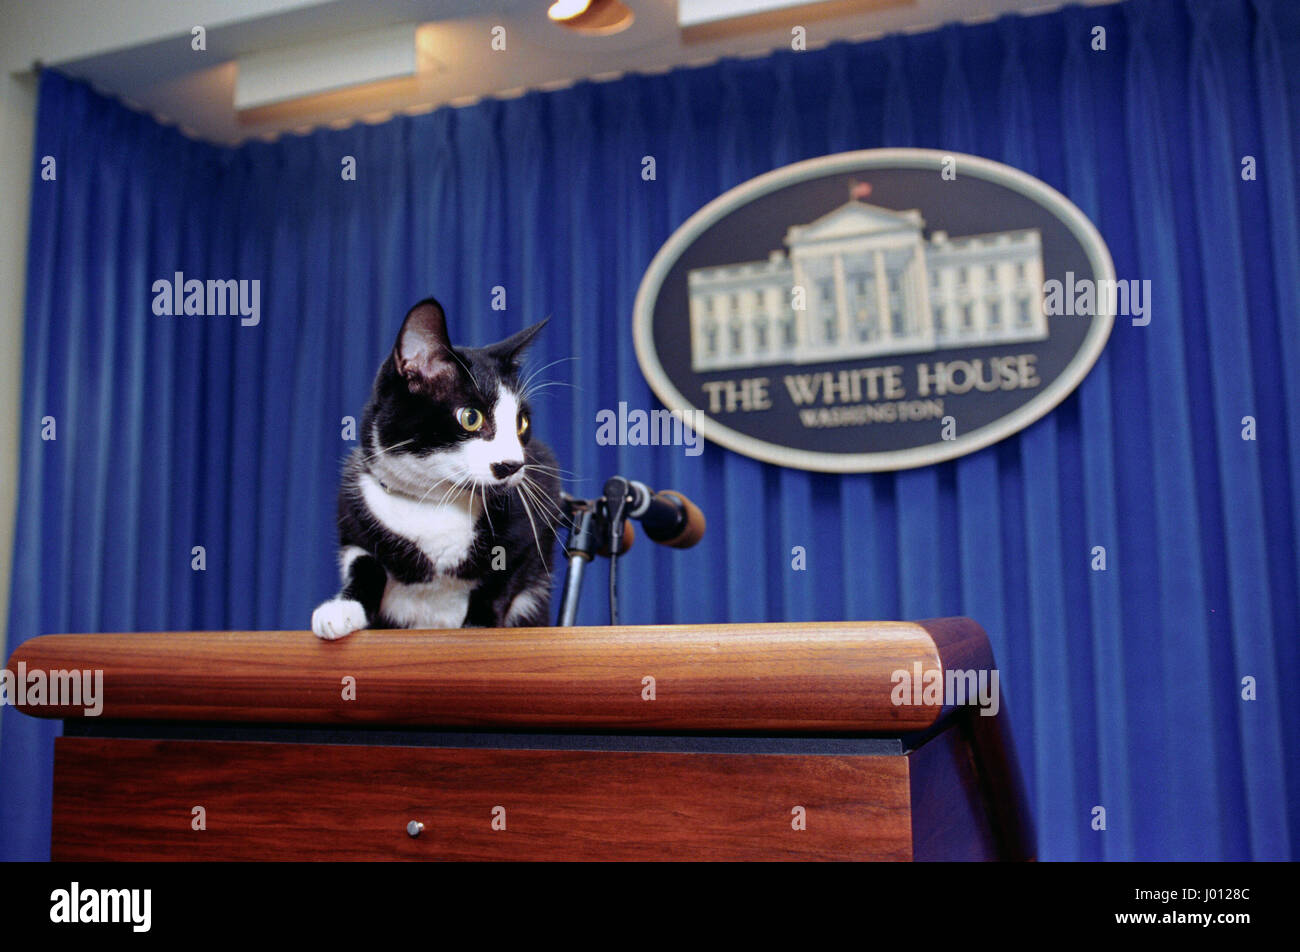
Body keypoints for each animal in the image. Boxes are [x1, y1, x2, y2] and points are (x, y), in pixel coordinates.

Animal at [313, 297, 564, 639]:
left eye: (521, 423)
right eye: (470, 417)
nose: (513, 464)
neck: (434, 502)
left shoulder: (537, 510)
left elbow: (503, 578)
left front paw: (478, 624)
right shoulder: (353, 513)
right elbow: (364, 563)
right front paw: (341, 610)